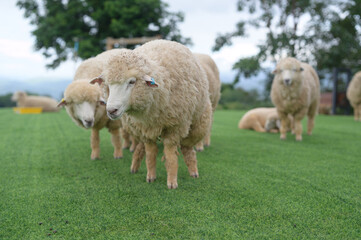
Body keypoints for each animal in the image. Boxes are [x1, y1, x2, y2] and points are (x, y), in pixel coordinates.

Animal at [90, 39, 212, 189]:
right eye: (107, 84)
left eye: (132, 81)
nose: (111, 110)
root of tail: (165, 40)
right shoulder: (146, 130)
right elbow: (150, 154)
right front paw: (150, 177)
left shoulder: (174, 127)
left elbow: (170, 155)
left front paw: (172, 182)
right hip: (137, 129)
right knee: (141, 147)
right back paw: (134, 166)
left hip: (198, 123)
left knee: (187, 147)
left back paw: (193, 171)